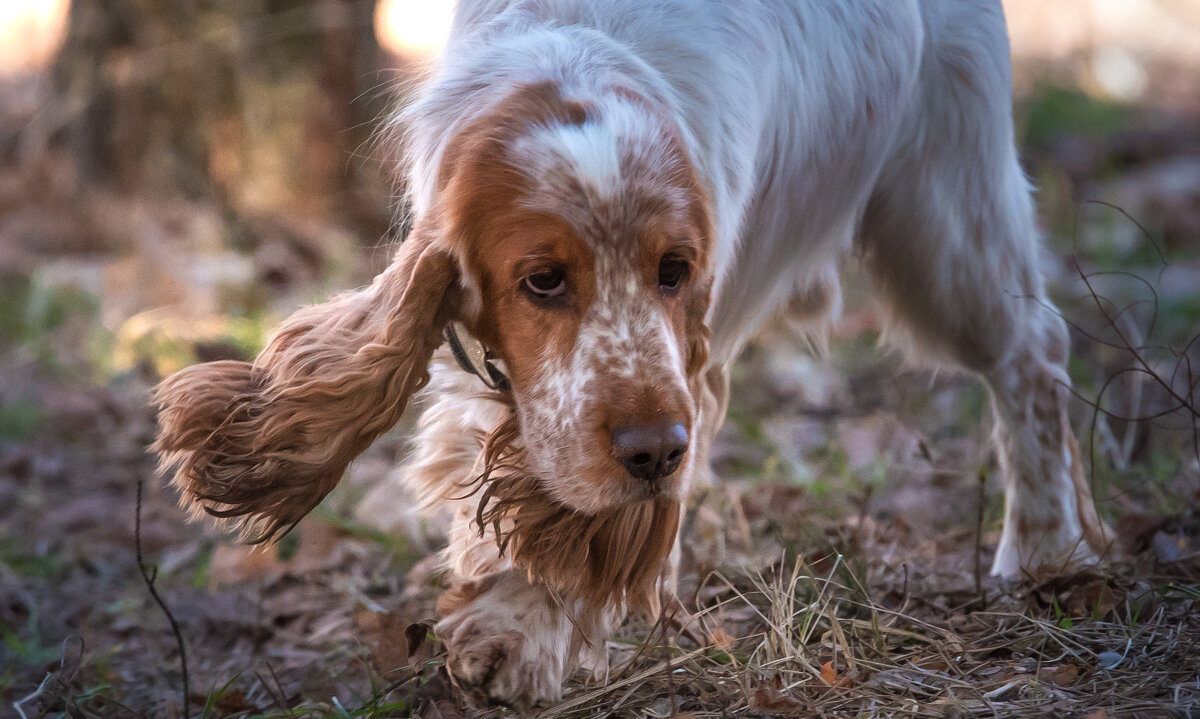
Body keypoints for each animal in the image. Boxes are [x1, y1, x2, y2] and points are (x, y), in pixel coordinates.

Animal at [154, 0, 1108, 710]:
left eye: (673, 269)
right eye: (542, 279)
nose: (652, 453)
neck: (576, 52)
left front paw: (519, 632)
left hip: (945, 219)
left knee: (1035, 350)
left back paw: (1044, 550)